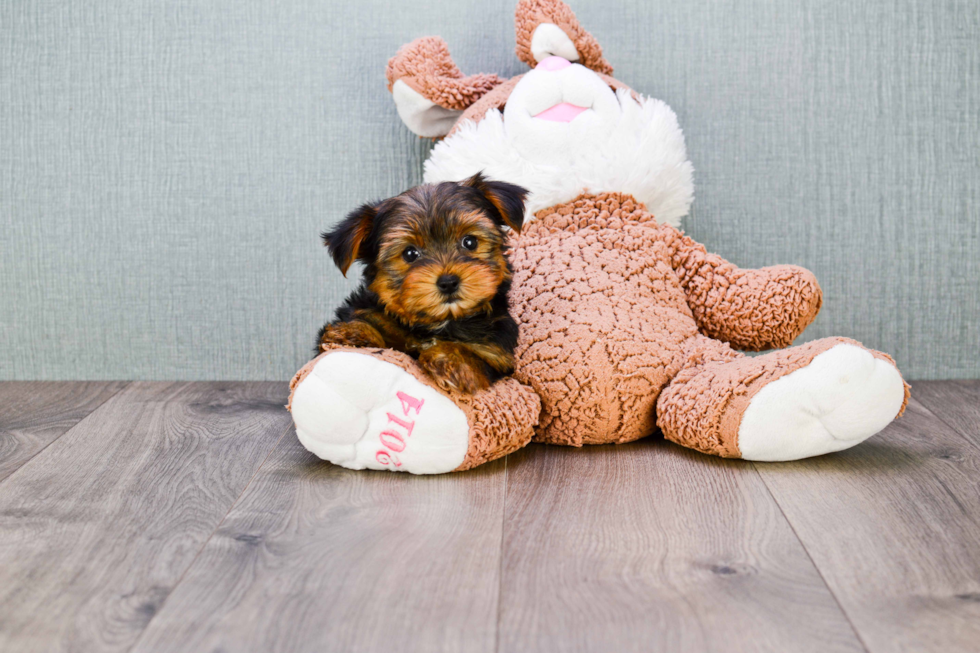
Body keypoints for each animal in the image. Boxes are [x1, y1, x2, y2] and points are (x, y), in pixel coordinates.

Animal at [318, 172, 524, 392]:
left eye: (470, 242)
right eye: (410, 254)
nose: (448, 282)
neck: (437, 323)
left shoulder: (496, 353)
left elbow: (478, 362)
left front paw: (450, 357)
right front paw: (351, 332)